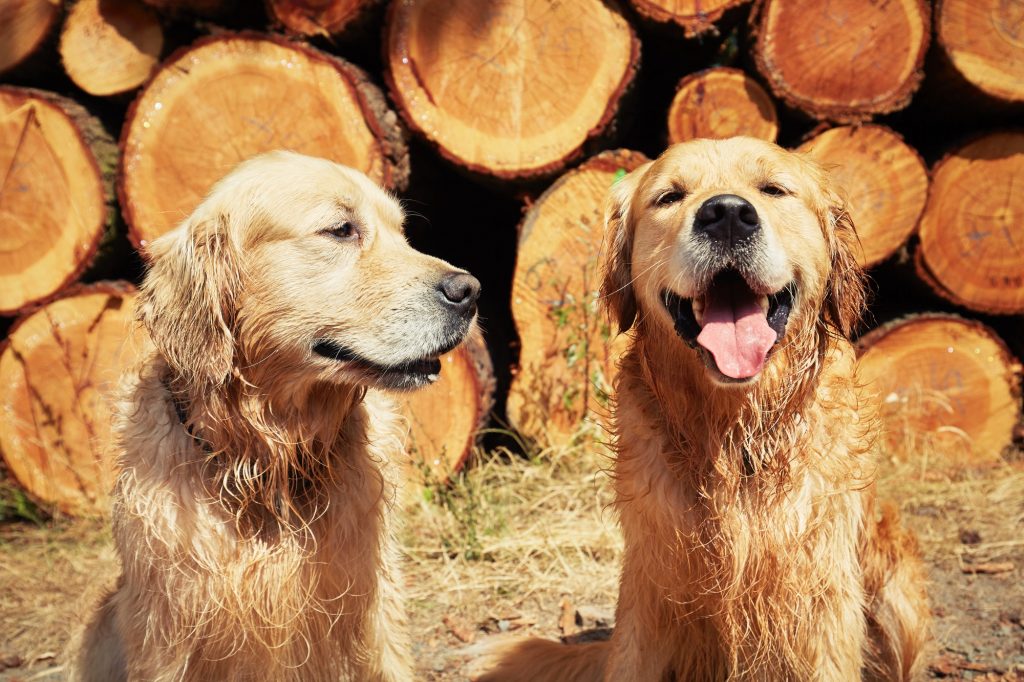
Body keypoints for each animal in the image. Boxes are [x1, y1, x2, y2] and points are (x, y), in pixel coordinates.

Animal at [72, 151, 479, 675]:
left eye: (402, 232)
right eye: (341, 230)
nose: (470, 291)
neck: (270, 459)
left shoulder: (374, 607)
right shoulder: (165, 626)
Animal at [479, 135, 929, 675]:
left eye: (773, 189)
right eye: (670, 197)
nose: (728, 214)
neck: (732, 435)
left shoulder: (823, 599)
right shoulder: (649, 588)